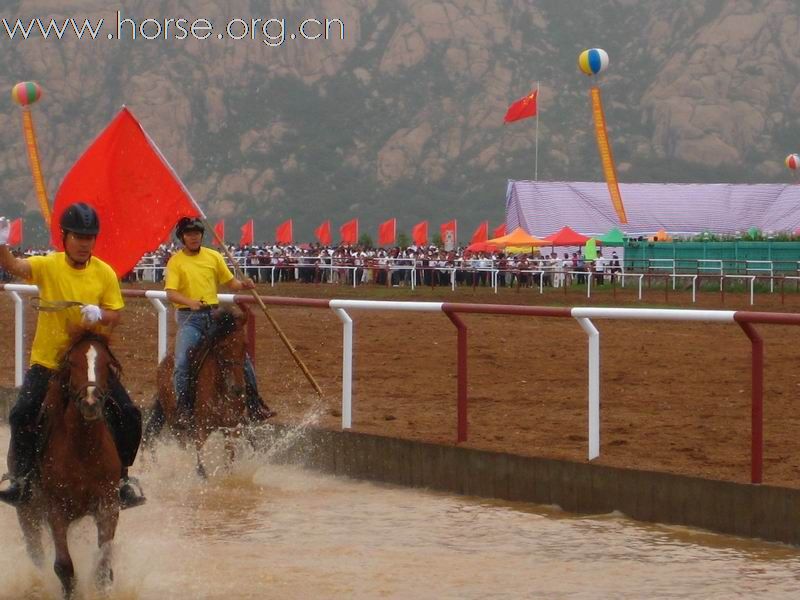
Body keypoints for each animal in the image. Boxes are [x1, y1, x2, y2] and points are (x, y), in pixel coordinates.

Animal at [13, 330, 122, 596]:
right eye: (72, 362)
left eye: (106, 363)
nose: (91, 402)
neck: (83, 448)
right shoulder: (56, 510)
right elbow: (63, 566)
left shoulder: (108, 505)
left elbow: (103, 565)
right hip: (27, 514)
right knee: (37, 556)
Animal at [145, 308, 250, 476]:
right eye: (222, 347)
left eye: (244, 345)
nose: (237, 388)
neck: (220, 389)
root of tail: (162, 365)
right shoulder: (201, 428)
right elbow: (200, 459)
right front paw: (201, 474)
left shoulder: (231, 427)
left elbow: (229, 458)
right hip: (176, 424)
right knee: (184, 446)